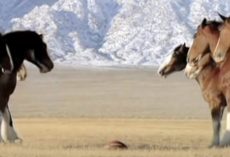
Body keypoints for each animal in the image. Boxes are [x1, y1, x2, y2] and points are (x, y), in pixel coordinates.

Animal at [185, 17, 230, 147]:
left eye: (195, 35)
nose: (188, 58)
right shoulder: (221, 103)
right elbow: (218, 124)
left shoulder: (216, 101)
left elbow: (216, 124)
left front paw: (214, 144)